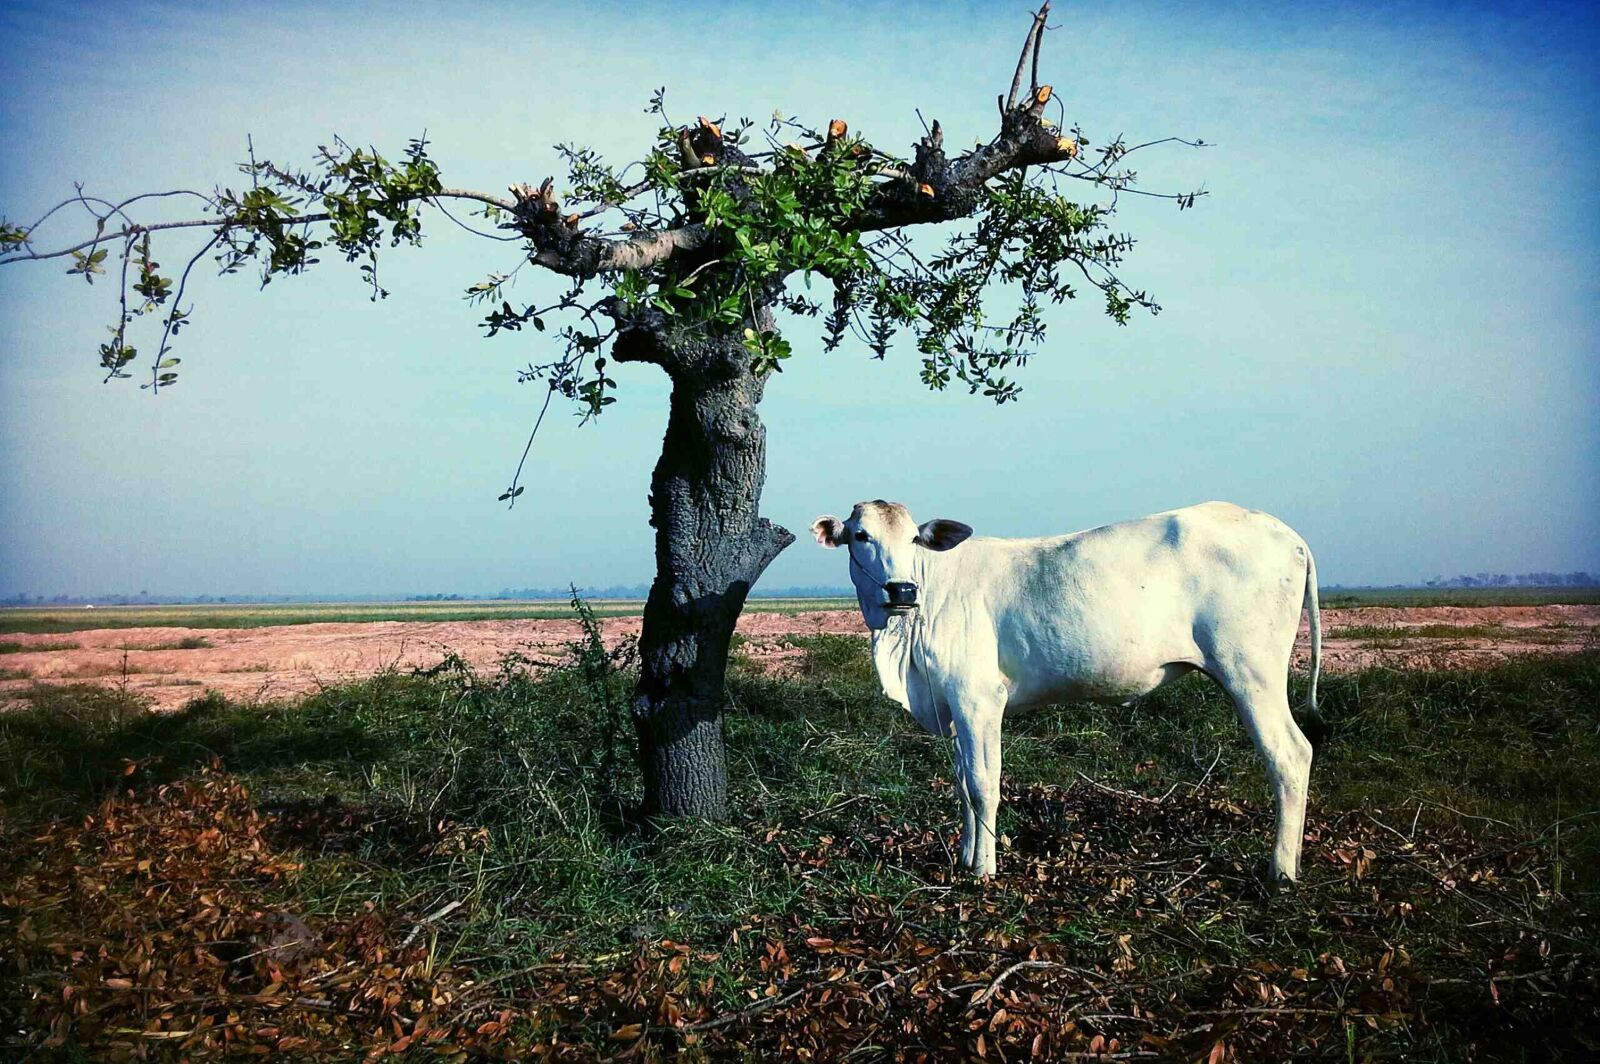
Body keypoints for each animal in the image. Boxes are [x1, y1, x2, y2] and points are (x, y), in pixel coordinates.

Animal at [810, 500, 1323, 883]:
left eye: (915, 538)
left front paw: (983, 870)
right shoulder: (952, 705)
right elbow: (961, 784)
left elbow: (983, 783)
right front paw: (964, 856)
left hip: (1252, 674)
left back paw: (1281, 872)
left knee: (1290, 755)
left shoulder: (979, 699)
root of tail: (1287, 534)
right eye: (861, 536)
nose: (901, 589)